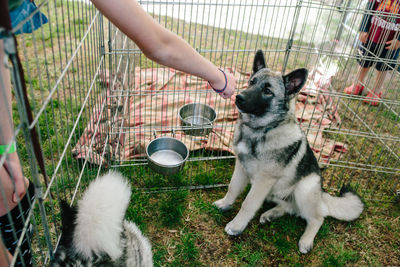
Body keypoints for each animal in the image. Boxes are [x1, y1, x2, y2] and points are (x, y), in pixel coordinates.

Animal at [214, 50, 364, 255]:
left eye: (267, 91)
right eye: (252, 82)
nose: (239, 97)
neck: (261, 130)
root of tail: (321, 194)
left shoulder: (263, 182)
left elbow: (248, 204)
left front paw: (237, 226)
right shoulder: (241, 168)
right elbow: (232, 188)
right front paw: (225, 203)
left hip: (303, 189)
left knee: (317, 217)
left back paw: (306, 240)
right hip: (276, 193)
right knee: (291, 208)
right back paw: (271, 214)